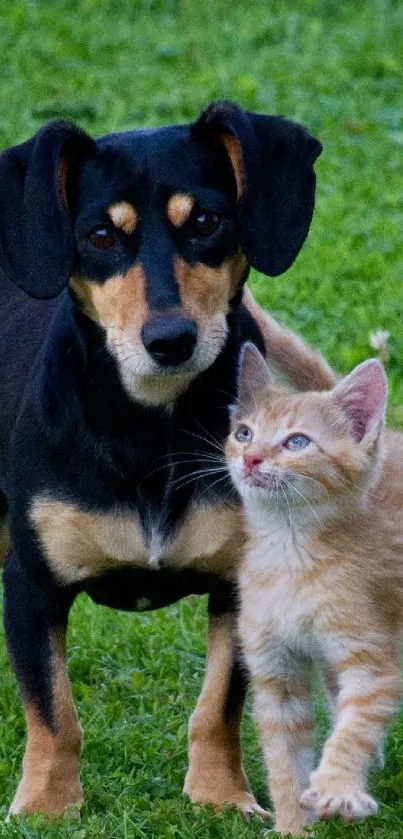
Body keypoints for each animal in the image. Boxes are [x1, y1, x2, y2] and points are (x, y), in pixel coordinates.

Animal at [0, 101, 330, 816]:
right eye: (99, 235)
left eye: (205, 222)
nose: (170, 340)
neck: (151, 426)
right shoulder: (32, 585)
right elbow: (54, 711)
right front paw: (46, 806)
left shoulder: (241, 585)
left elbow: (219, 704)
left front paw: (220, 796)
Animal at [227, 344, 403, 836]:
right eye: (244, 433)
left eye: (297, 442)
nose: (251, 459)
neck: (289, 556)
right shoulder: (276, 675)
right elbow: (285, 763)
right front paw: (293, 825)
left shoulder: (372, 662)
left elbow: (355, 726)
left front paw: (337, 787)